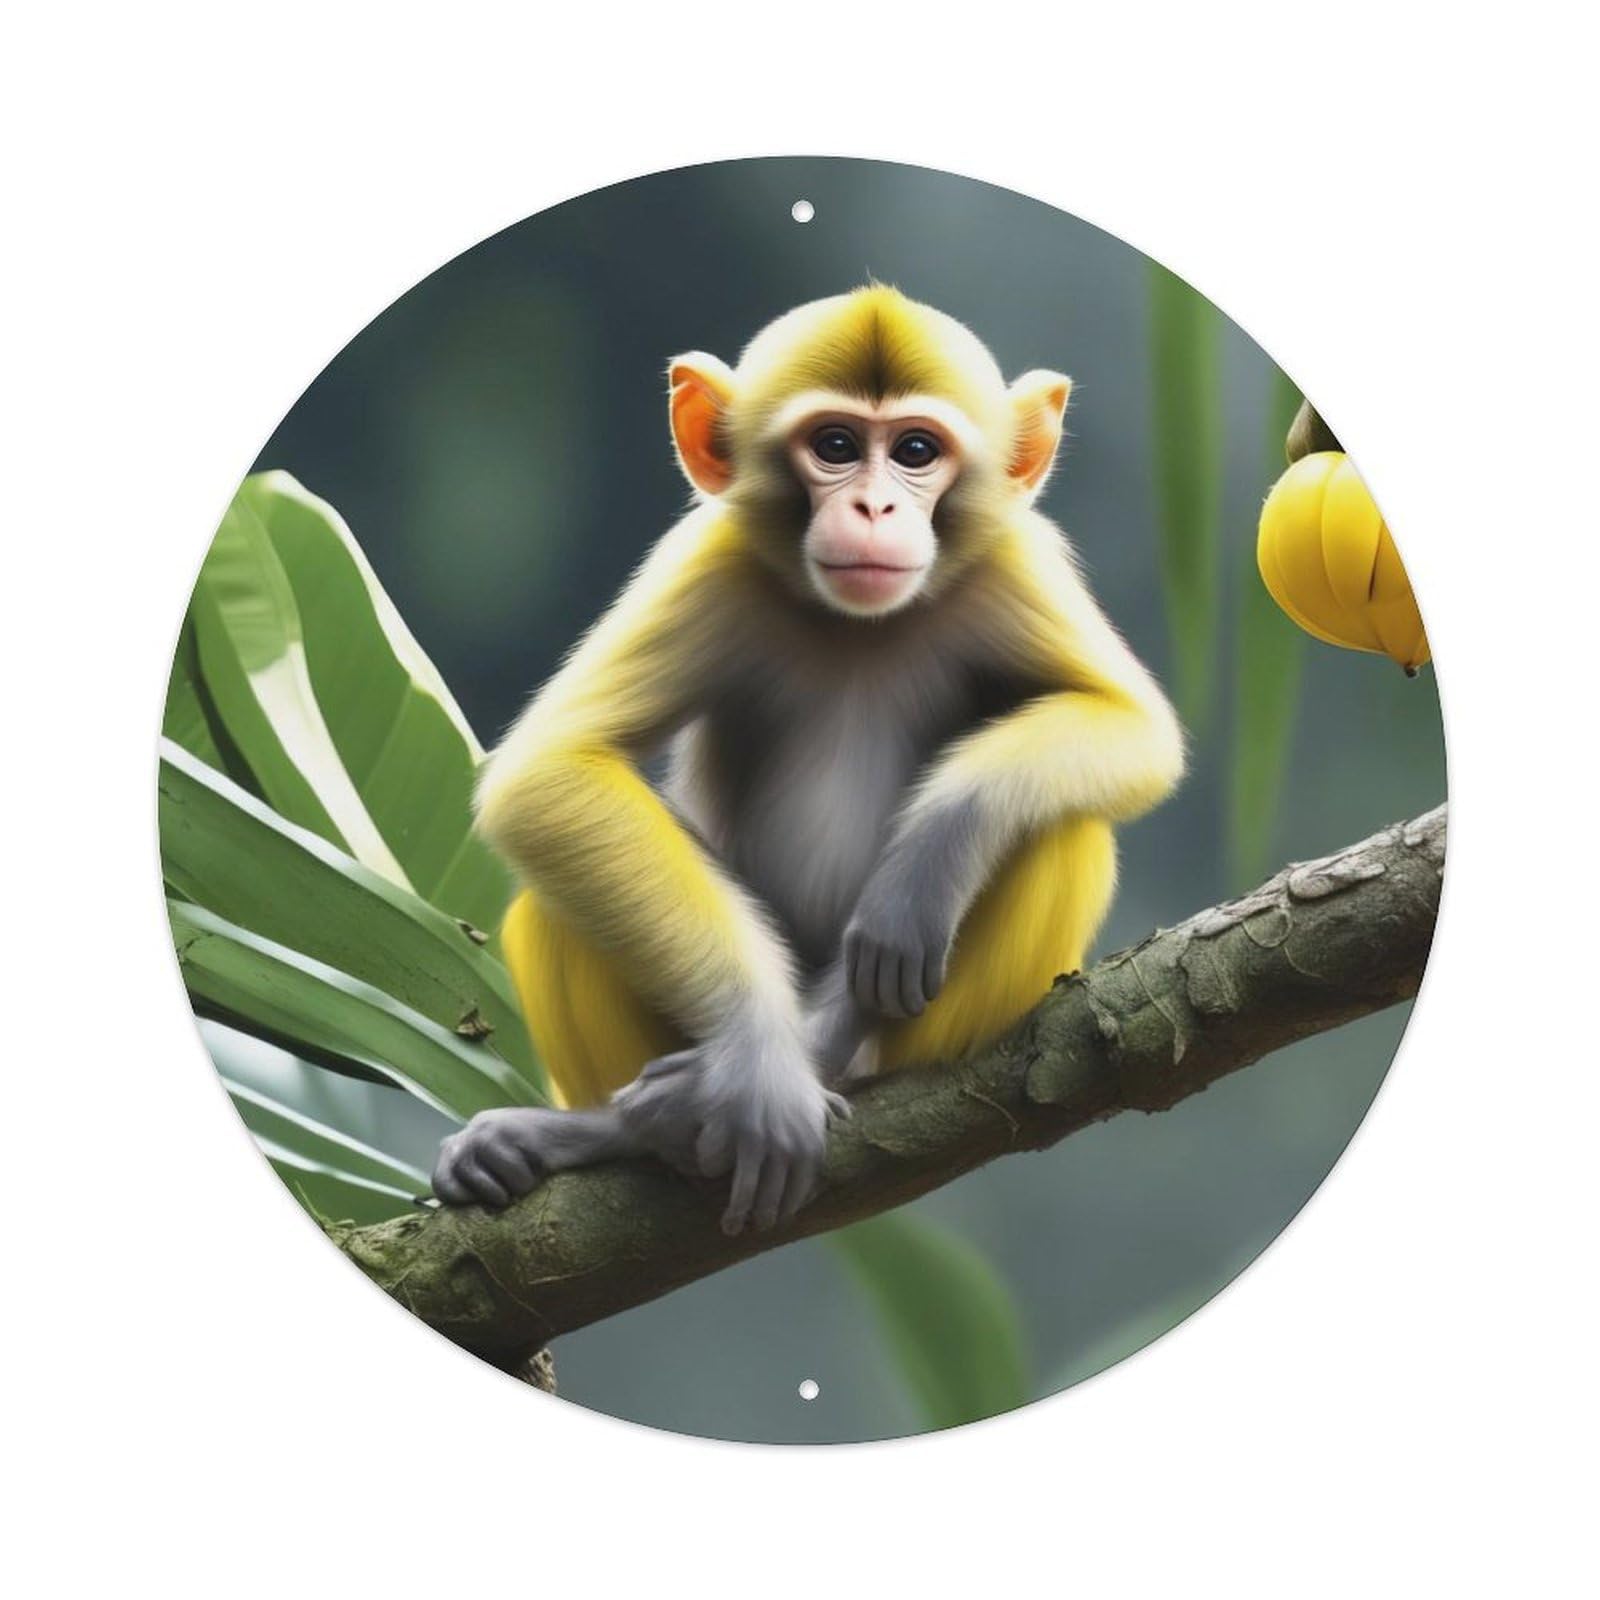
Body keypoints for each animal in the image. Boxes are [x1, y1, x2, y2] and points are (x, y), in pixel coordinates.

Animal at [431, 286, 1184, 1235]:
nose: (873, 510)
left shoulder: (1015, 559)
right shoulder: (708, 559)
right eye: (834, 447)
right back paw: (624, 1130)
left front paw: (917, 876)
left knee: (1065, 826)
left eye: (915, 451)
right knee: (553, 891)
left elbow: (1128, 725)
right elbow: (551, 773)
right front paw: (761, 1067)